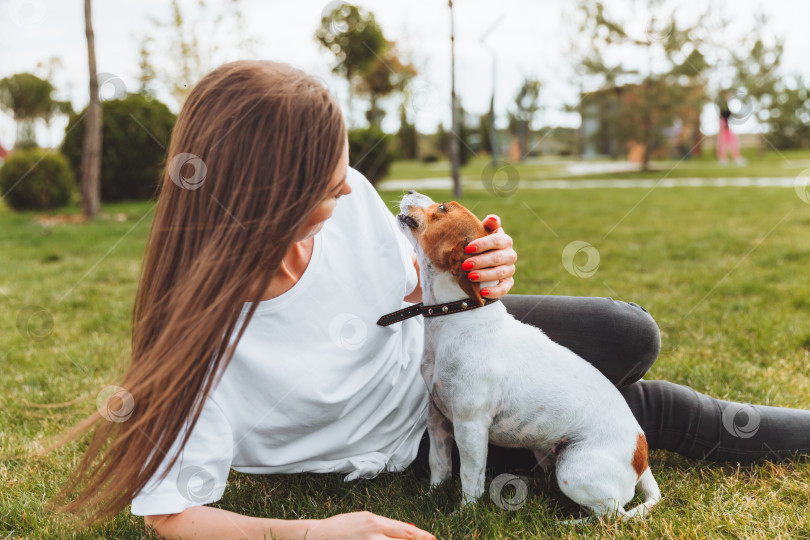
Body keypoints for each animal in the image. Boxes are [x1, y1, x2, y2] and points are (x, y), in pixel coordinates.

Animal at [394, 192, 660, 520]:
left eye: (442, 208)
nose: (409, 192)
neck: (456, 315)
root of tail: (641, 455)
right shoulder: (437, 419)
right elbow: (439, 466)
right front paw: (429, 498)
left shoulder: (470, 426)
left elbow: (470, 477)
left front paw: (463, 515)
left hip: (573, 471)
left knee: (613, 514)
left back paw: (570, 523)